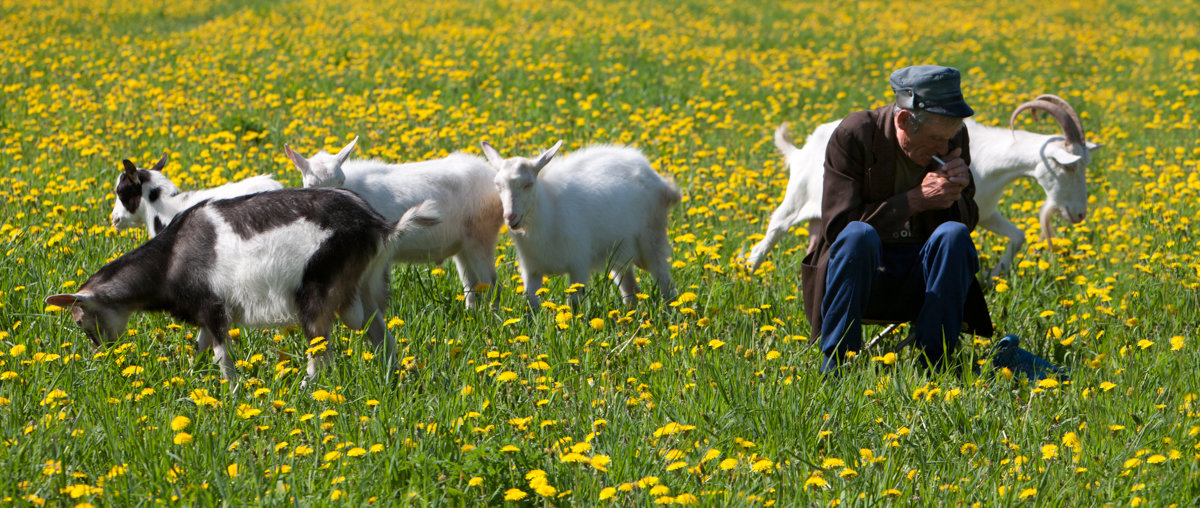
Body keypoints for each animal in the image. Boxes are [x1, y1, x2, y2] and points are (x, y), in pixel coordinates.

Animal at [49, 188, 441, 386]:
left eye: (80, 321)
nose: (103, 353)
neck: (170, 258)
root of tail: (380, 226)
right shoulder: (205, 312)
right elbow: (200, 347)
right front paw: (188, 377)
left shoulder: (213, 307)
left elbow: (222, 355)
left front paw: (231, 391)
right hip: (367, 286)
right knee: (382, 337)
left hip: (318, 287)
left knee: (320, 349)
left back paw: (306, 390)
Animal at [283, 137, 504, 307]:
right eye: (310, 184)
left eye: (341, 181)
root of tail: (489, 173)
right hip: (463, 243)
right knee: (472, 284)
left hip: (481, 235)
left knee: (491, 283)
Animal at [480, 141, 686, 312]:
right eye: (497, 185)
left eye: (528, 184)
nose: (510, 217)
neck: (549, 210)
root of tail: (660, 181)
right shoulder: (531, 270)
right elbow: (531, 306)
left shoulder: (578, 265)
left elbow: (574, 304)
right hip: (620, 253)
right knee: (631, 291)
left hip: (652, 240)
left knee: (665, 284)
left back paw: (669, 313)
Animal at [744, 95, 1099, 278]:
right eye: (1070, 166)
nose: (1079, 214)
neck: (993, 161)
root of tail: (803, 149)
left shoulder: (985, 211)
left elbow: (1018, 235)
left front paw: (995, 274)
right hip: (797, 199)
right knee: (772, 232)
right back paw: (748, 272)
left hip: (820, 219)